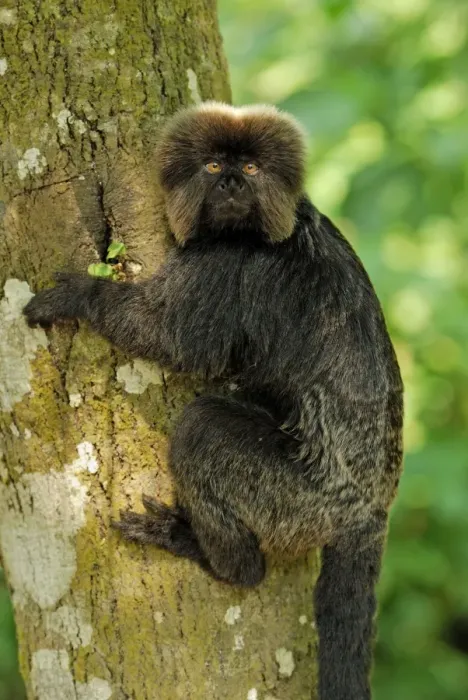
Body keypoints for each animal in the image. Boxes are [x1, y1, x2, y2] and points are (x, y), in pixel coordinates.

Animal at [23, 101, 404, 700]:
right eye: (212, 167)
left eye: (247, 170)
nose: (230, 185)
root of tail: (372, 505)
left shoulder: (226, 264)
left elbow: (172, 339)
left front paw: (82, 296)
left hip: (302, 499)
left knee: (204, 430)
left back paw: (219, 559)